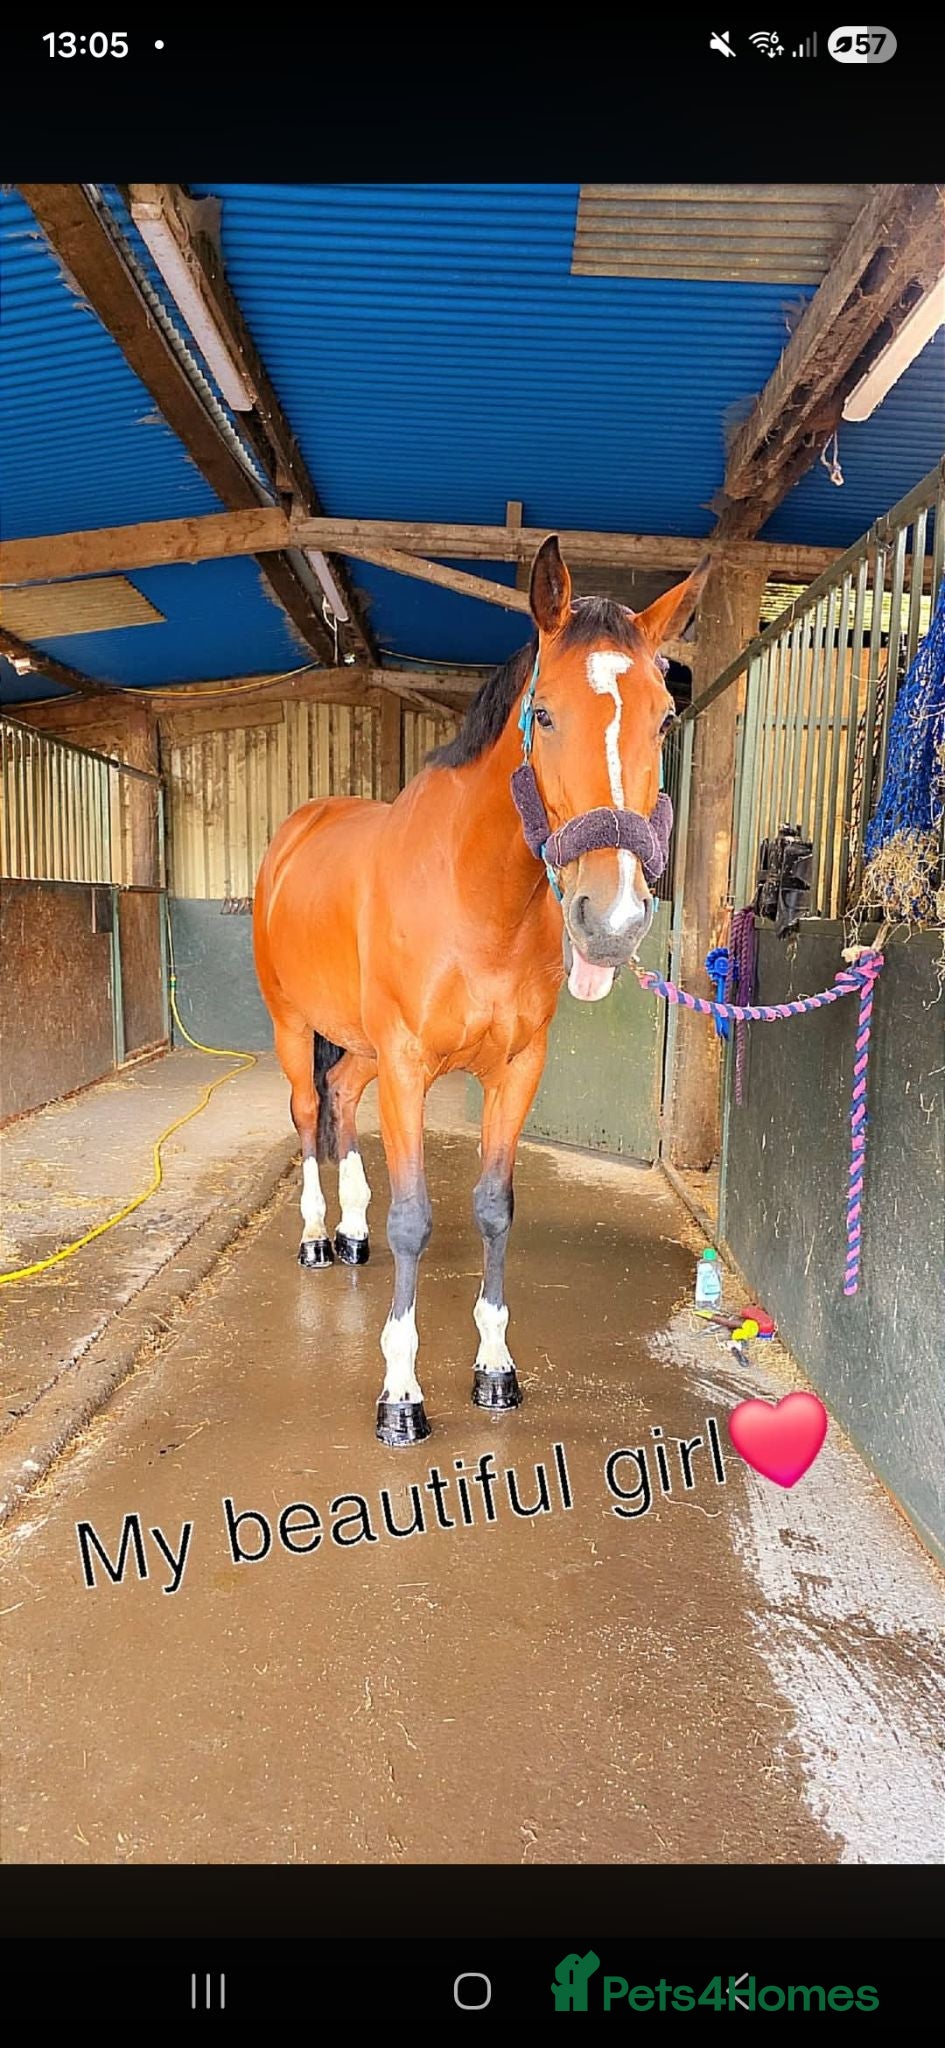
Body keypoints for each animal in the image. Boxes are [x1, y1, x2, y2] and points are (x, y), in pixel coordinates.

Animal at [253, 536, 707, 1445]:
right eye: (545, 716)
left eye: (662, 719)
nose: (611, 919)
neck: (473, 898)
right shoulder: (407, 1068)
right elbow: (415, 1220)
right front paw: (400, 1395)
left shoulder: (515, 1070)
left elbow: (494, 1209)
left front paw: (495, 1368)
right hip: (295, 1029)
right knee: (307, 1112)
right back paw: (318, 1237)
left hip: (359, 1047)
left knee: (340, 1100)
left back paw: (349, 1233)